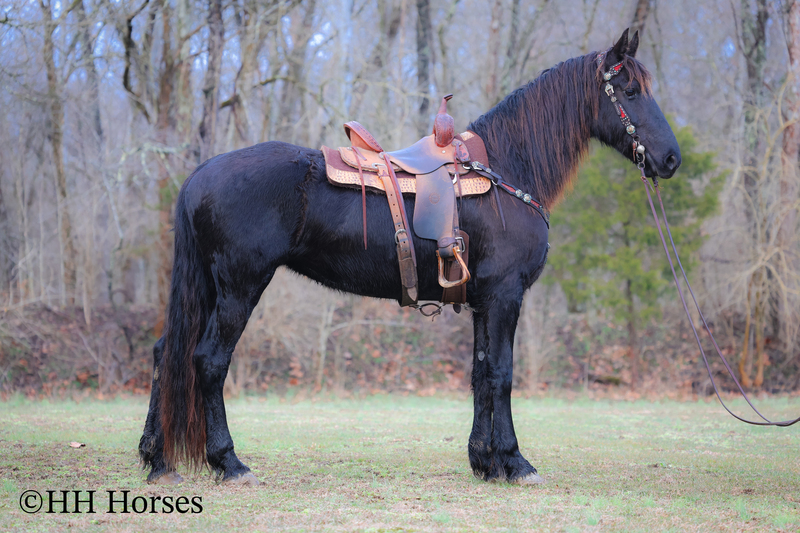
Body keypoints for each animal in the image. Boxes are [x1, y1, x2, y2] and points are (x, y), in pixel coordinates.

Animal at [138, 29, 681, 486]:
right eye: (629, 92)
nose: (671, 159)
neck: (506, 171)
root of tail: (201, 174)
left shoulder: (483, 301)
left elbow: (481, 375)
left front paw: (485, 462)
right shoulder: (505, 296)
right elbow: (503, 375)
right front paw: (515, 462)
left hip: (211, 288)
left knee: (167, 353)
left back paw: (158, 459)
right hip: (240, 286)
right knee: (209, 360)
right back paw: (229, 463)